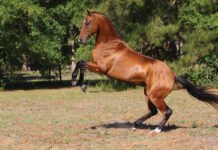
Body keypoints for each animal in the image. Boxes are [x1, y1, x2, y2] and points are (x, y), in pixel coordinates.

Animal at [72, 10, 218, 132]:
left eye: (87, 23)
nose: (80, 40)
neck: (108, 45)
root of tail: (173, 75)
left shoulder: (101, 69)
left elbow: (81, 63)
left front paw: (76, 81)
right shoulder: (96, 66)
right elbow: (82, 65)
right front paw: (81, 85)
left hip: (154, 96)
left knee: (167, 111)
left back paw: (156, 130)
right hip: (148, 93)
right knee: (153, 111)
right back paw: (135, 125)